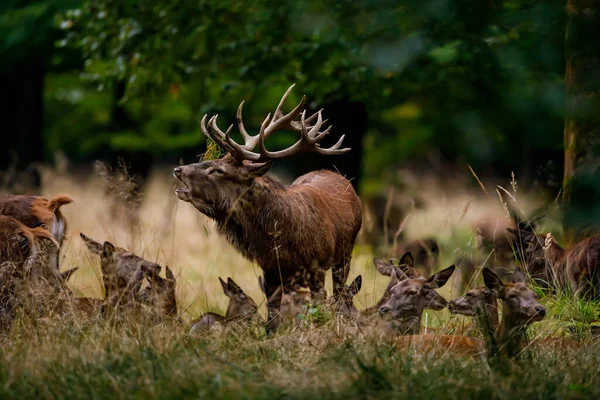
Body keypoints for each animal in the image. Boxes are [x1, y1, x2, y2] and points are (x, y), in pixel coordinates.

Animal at [173, 84, 360, 332]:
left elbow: (318, 311)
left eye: (218, 170)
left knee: (339, 293)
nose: (178, 169)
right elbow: (272, 320)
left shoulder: (317, 267)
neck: (283, 240)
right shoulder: (270, 271)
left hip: (345, 253)